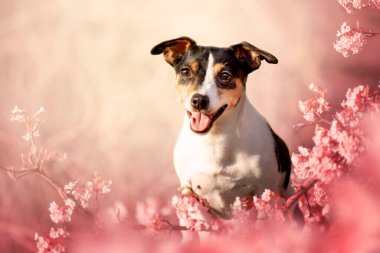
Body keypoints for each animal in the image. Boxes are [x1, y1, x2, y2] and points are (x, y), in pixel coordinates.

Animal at [150, 36, 290, 218]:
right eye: (186, 72)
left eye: (225, 75)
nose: (199, 100)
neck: (214, 139)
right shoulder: (188, 191)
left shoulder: (266, 189)